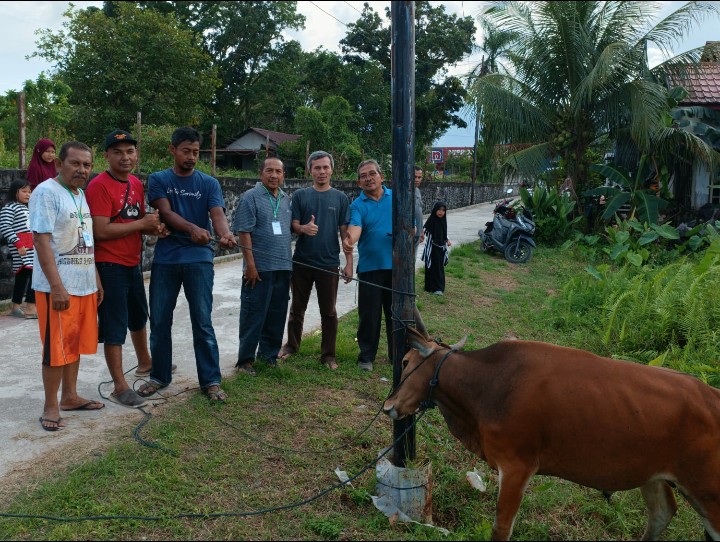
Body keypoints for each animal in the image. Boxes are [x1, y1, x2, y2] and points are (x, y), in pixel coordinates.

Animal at [383, 326, 720, 541]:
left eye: (405, 361)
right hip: (652, 475)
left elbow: (501, 528)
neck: (488, 384)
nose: (388, 406)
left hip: (708, 492)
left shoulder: (517, 466)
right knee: (663, 513)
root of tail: (712, 396)